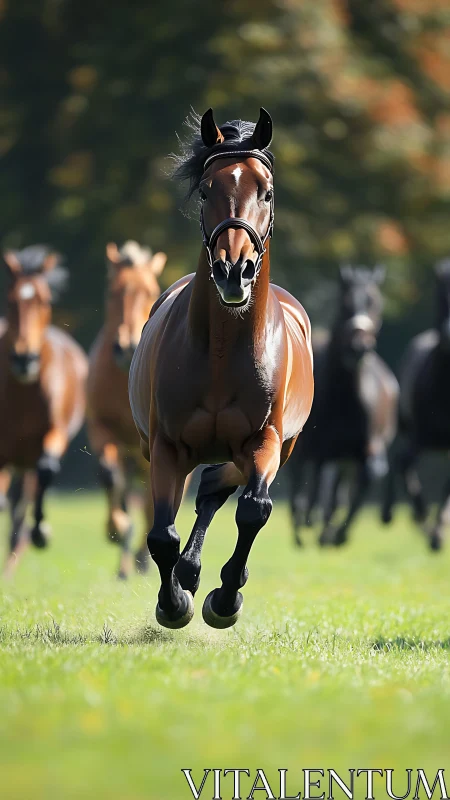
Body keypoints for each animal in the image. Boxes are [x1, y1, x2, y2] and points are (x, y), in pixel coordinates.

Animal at [0, 246, 88, 576]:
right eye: (10, 299)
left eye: (44, 300)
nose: (24, 358)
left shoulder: (55, 431)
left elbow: (47, 469)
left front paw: (40, 532)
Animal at [129, 107, 314, 629]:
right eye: (207, 190)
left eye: (266, 191)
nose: (235, 271)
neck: (220, 354)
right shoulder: (166, 446)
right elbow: (162, 534)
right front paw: (173, 604)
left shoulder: (266, 440)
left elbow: (254, 510)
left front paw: (225, 598)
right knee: (208, 489)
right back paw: (187, 575)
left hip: (279, 448)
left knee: (220, 487)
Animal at [288, 265, 399, 547]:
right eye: (345, 304)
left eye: (375, 303)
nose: (359, 346)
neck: (347, 398)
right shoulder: (317, 446)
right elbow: (314, 481)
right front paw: (310, 524)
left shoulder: (368, 444)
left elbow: (370, 473)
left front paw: (338, 534)